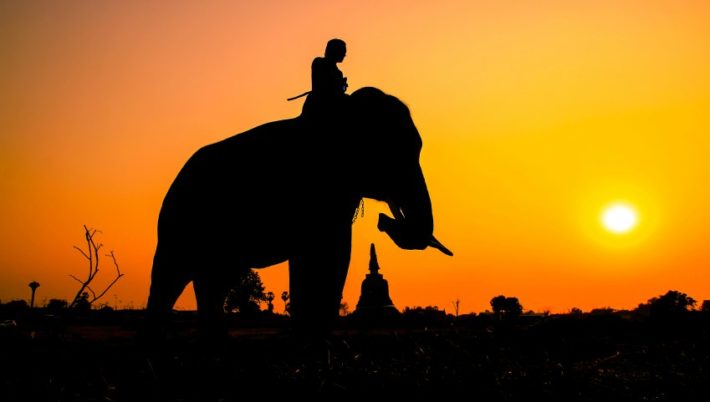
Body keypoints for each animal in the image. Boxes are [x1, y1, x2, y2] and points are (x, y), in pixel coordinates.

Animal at [146, 87, 450, 334]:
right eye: (388, 150)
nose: (382, 220)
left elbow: (336, 254)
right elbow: (320, 255)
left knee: (214, 281)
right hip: (179, 220)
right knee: (170, 277)